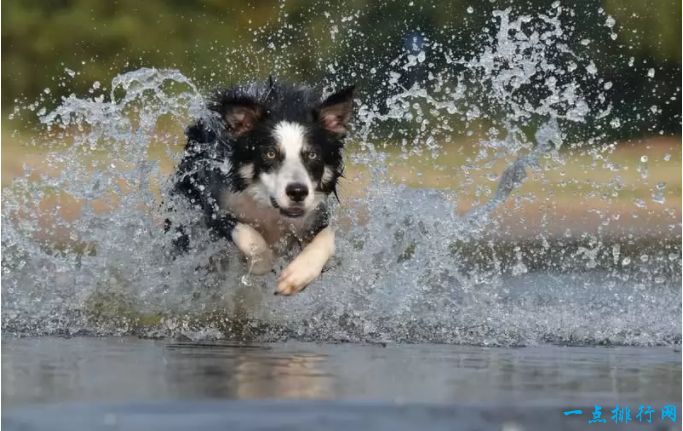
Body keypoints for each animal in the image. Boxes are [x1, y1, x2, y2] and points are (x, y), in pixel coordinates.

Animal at [168, 79, 356, 296]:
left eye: (312, 155)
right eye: (270, 154)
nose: (297, 192)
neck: (268, 208)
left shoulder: (315, 214)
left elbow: (328, 237)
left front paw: (297, 275)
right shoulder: (214, 205)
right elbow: (248, 235)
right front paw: (261, 263)